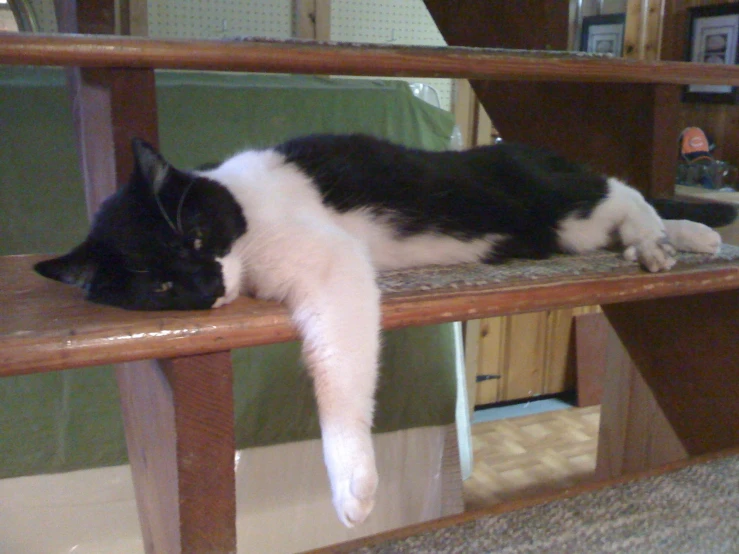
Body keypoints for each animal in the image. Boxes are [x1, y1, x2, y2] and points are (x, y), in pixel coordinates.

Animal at [37, 134, 736, 528]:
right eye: (158, 286)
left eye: (196, 236)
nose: (206, 286)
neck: (239, 204)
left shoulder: (334, 263)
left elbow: (337, 375)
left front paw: (353, 481)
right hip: (564, 231)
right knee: (627, 208)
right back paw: (689, 237)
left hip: (557, 203)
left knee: (623, 192)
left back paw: (662, 240)